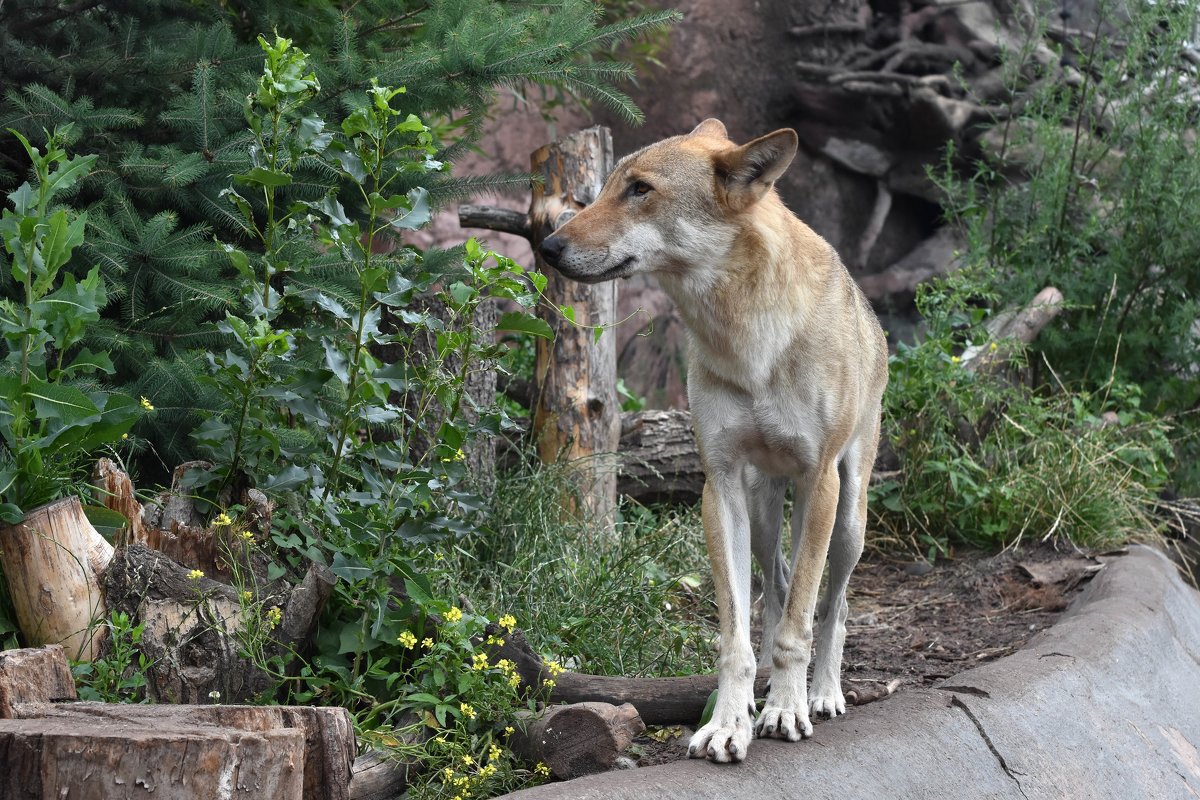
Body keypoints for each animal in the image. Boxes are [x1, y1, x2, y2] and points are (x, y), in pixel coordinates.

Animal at [540, 118, 888, 762]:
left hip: (847, 515)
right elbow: (737, 636)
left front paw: (787, 711)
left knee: (834, 603)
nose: (548, 247)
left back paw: (822, 694)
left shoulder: (819, 481)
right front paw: (731, 723)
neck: (748, 339)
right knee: (778, 586)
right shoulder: (719, 484)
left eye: (640, 190)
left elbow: (801, 624)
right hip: (764, 509)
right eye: (606, 188)